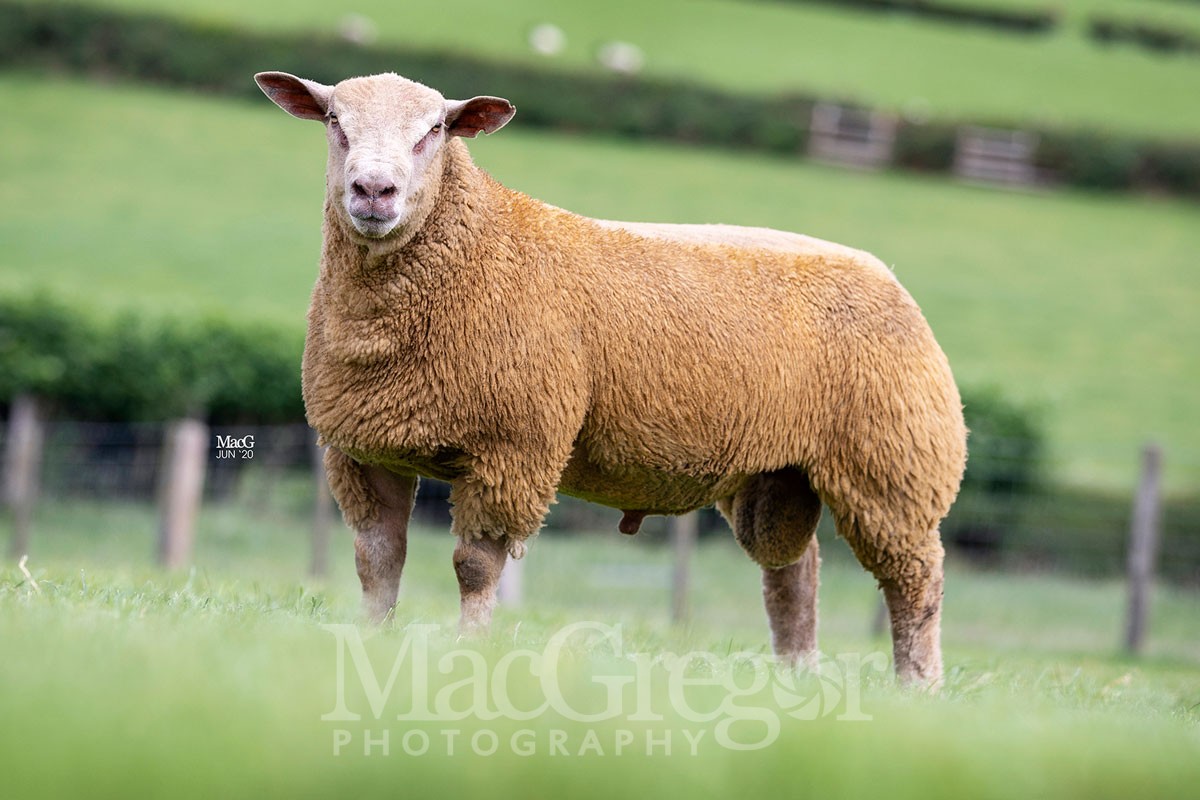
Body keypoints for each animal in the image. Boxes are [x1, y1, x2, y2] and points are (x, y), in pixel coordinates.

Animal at [254, 70, 968, 686]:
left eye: (436, 130)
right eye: (336, 122)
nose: (374, 192)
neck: (478, 245)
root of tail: (882, 272)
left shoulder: (514, 448)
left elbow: (474, 567)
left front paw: (469, 654)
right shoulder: (365, 449)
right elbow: (378, 562)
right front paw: (369, 646)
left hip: (893, 465)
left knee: (917, 585)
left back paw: (918, 689)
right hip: (781, 474)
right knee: (794, 577)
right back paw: (797, 681)